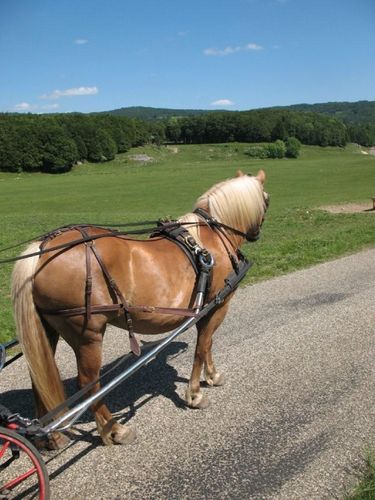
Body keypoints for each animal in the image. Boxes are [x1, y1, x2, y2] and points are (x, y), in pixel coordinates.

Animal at [10, 169, 268, 450]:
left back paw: (51, 436)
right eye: (267, 199)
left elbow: (207, 344)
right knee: (88, 383)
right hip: (87, 334)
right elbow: (202, 347)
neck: (212, 237)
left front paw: (212, 375)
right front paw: (195, 394)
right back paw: (114, 430)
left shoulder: (210, 307)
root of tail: (43, 250)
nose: (257, 234)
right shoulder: (218, 305)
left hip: (48, 330)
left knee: (39, 379)